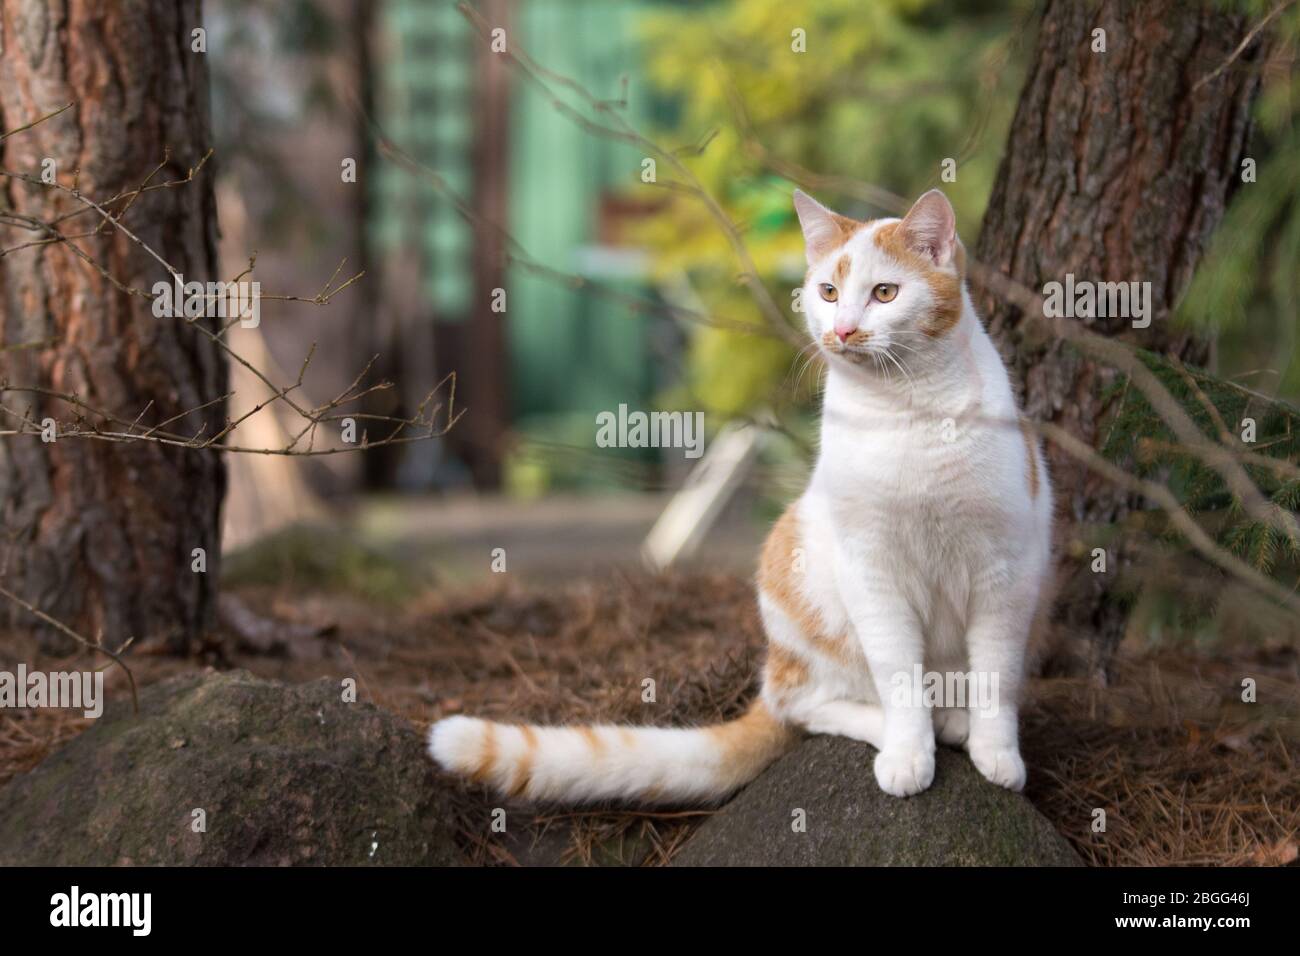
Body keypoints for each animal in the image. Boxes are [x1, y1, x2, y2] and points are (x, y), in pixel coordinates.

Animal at [431, 187, 1050, 801]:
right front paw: (907, 753)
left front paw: (998, 754)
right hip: (800, 568)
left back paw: (955, 719)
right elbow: (898, 675)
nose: (843, 330)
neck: (907, 407)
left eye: (885, 293)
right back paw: (911, 723)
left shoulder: (1006, 572)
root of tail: (776, 661)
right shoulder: (872, 570)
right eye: (827, 292)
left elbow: (996, 676)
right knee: (803, 705)